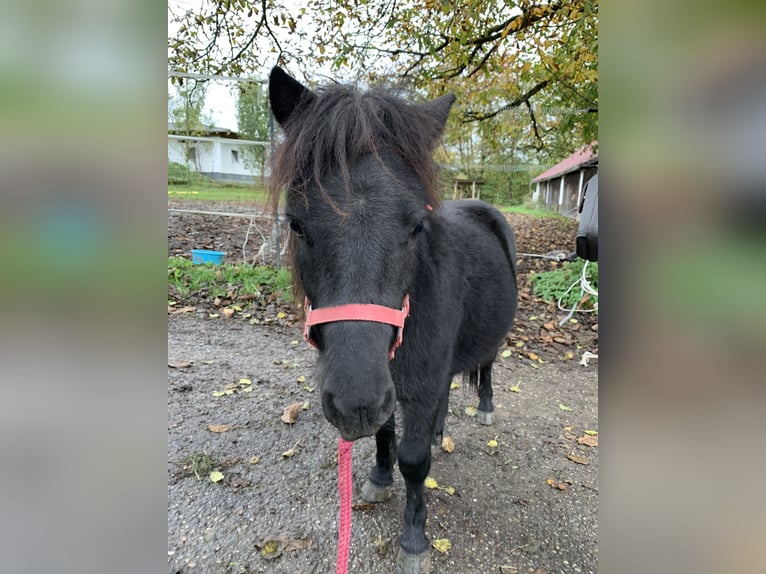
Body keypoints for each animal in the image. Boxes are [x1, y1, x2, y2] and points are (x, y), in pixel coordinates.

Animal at [268, 68, 516, 574]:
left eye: (415, 226)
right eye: (296, 224)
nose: (354, 403)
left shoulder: (411, 386)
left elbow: (415, 461)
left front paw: (414, 540)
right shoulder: (390, 381)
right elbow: (385, 433)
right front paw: (380, 478)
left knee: (486, 366)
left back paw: (483, 406)